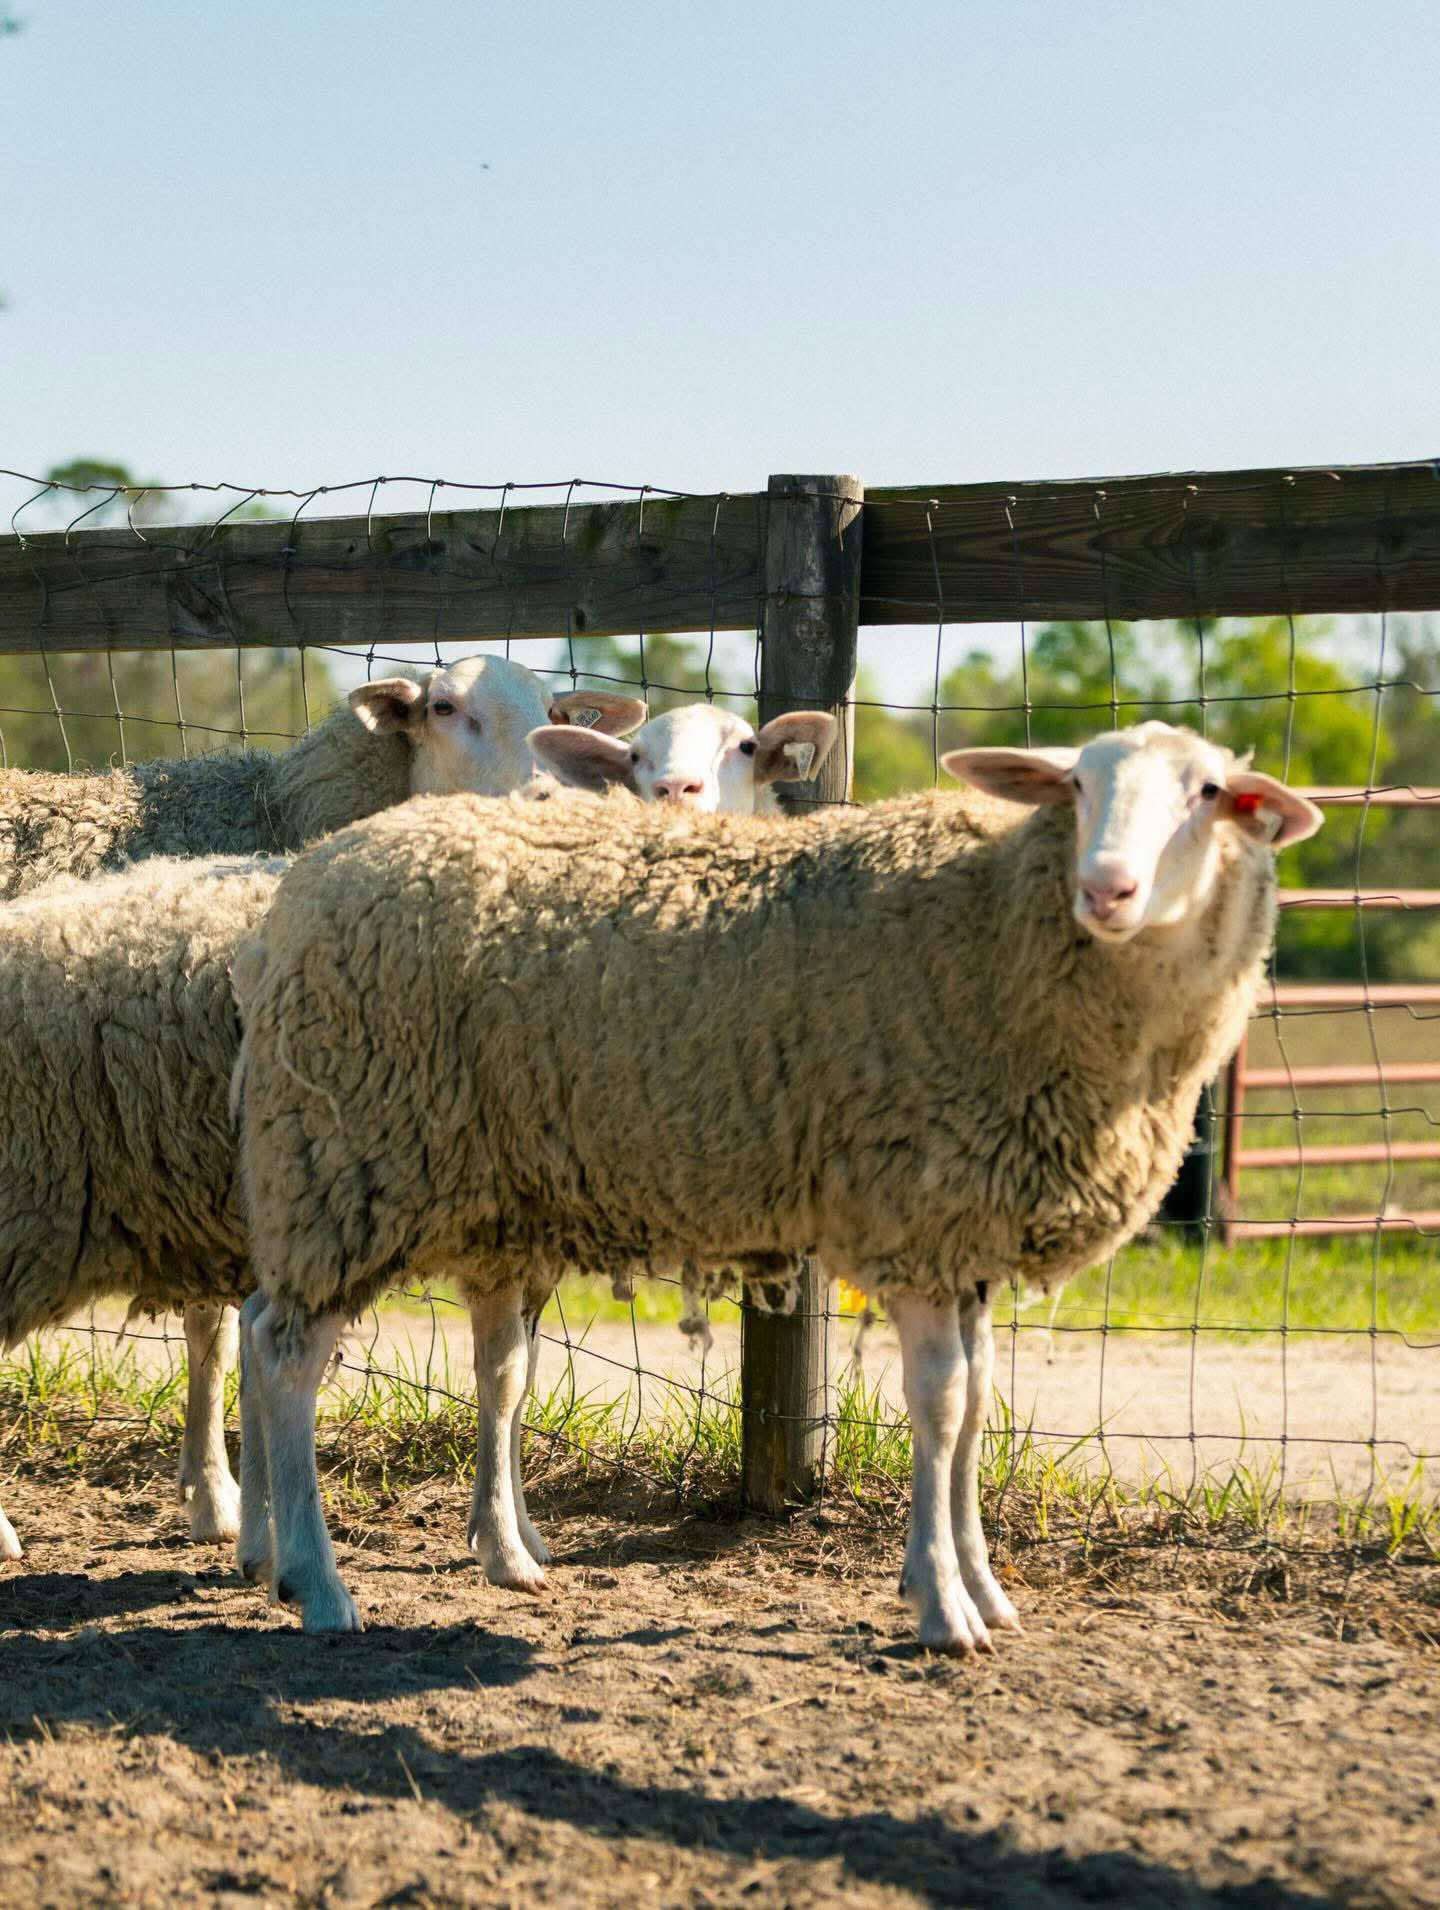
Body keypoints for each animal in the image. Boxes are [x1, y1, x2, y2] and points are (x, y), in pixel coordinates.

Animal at [231, 721, 1323, 1646]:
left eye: (1210, 793)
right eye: (1078, 784)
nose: (1107, 887)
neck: (1001, 925)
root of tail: (313, 872)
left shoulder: (969, 1228)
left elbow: (979, 1406)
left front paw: (985, 1585)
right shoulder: (913, 1212)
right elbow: (940, 1405)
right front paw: (942, 1604)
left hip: (447, 1183)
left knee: (393, 1347)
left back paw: (422, 1553)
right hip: (347, 1157)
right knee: (286, 1352)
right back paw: (315, 1582)